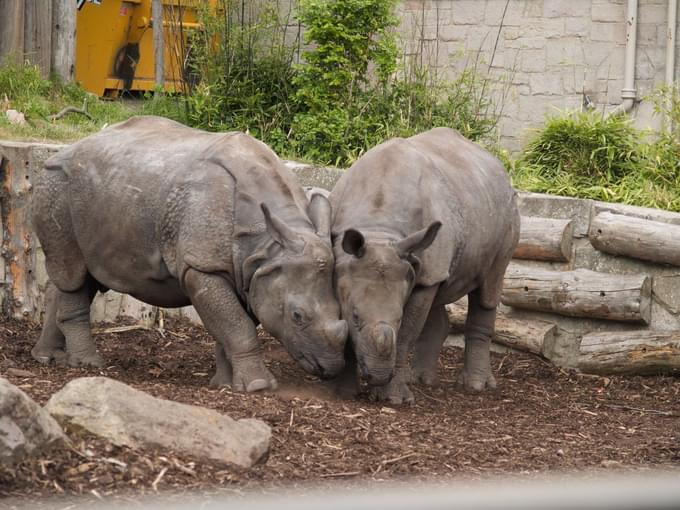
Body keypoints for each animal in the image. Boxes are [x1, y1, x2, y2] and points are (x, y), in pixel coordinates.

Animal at [30, 117, 350, 392]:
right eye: (297, 316)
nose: (330, 368)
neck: (266, 244)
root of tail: (63, 150)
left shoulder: (252, 270)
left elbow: (230, 325)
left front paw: (225, 385)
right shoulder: (203, 266)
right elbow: (238, 326)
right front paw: (258, 387)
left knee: (83, 275)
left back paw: (46, 357)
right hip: (56, 185)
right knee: (71, 270)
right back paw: (87, 364)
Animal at [330, 126, 520, 402]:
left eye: (398, 318)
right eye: (355, 316)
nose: (377, 375)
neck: (378, 229)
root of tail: (500, 169)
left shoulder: (421, 272)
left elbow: (406, 334)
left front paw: (393, 399)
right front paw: (343, 393)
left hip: (508, 213)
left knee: (488, 288)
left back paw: (475, 386)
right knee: (442, 291)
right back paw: (420, 379)